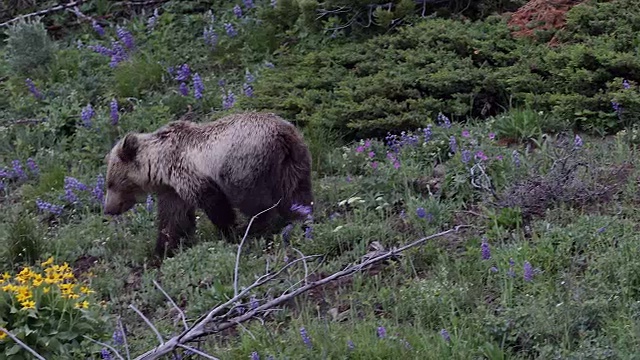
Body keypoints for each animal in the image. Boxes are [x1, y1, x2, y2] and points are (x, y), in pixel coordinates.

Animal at [102, 111, 316, 258]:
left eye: (111, 183)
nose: (108, 209)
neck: (159, 166)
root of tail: (282, 135)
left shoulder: (189, 173)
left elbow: (215, 204)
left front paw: (230, 232)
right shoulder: (173, 190)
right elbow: (172, 219)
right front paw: (162, 250)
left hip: (243, 166)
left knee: (255, 202)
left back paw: (252, 229)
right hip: (295, 162)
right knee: (297, 195)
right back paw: (301, 220)